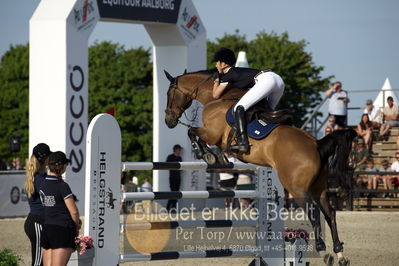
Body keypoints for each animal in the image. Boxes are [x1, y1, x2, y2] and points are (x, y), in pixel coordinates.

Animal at [164, 69, 358, 266]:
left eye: (168, 93)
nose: (168, 120)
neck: (216, 97)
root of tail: (316, 144)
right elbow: (198, 136)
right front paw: (216, 156)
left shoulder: (212, 132)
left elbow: (192, 131)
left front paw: (206, 153)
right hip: (319, 188)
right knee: (330, 213)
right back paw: (340, 255)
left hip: (297, 189)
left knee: (314, 213)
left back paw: (324, 252)